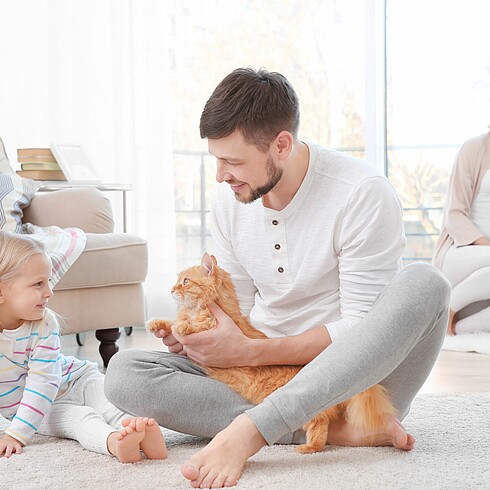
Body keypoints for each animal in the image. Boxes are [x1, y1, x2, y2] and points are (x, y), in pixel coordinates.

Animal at [147, 255, 396, 454]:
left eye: (185, 282)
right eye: (178, 282)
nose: (171, 290)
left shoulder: (215, 326)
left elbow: (191, 326)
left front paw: (183, 327)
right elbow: (171, 323)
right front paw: (156, 324)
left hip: (301, 406)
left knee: (320, 423)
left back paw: (309, 448)